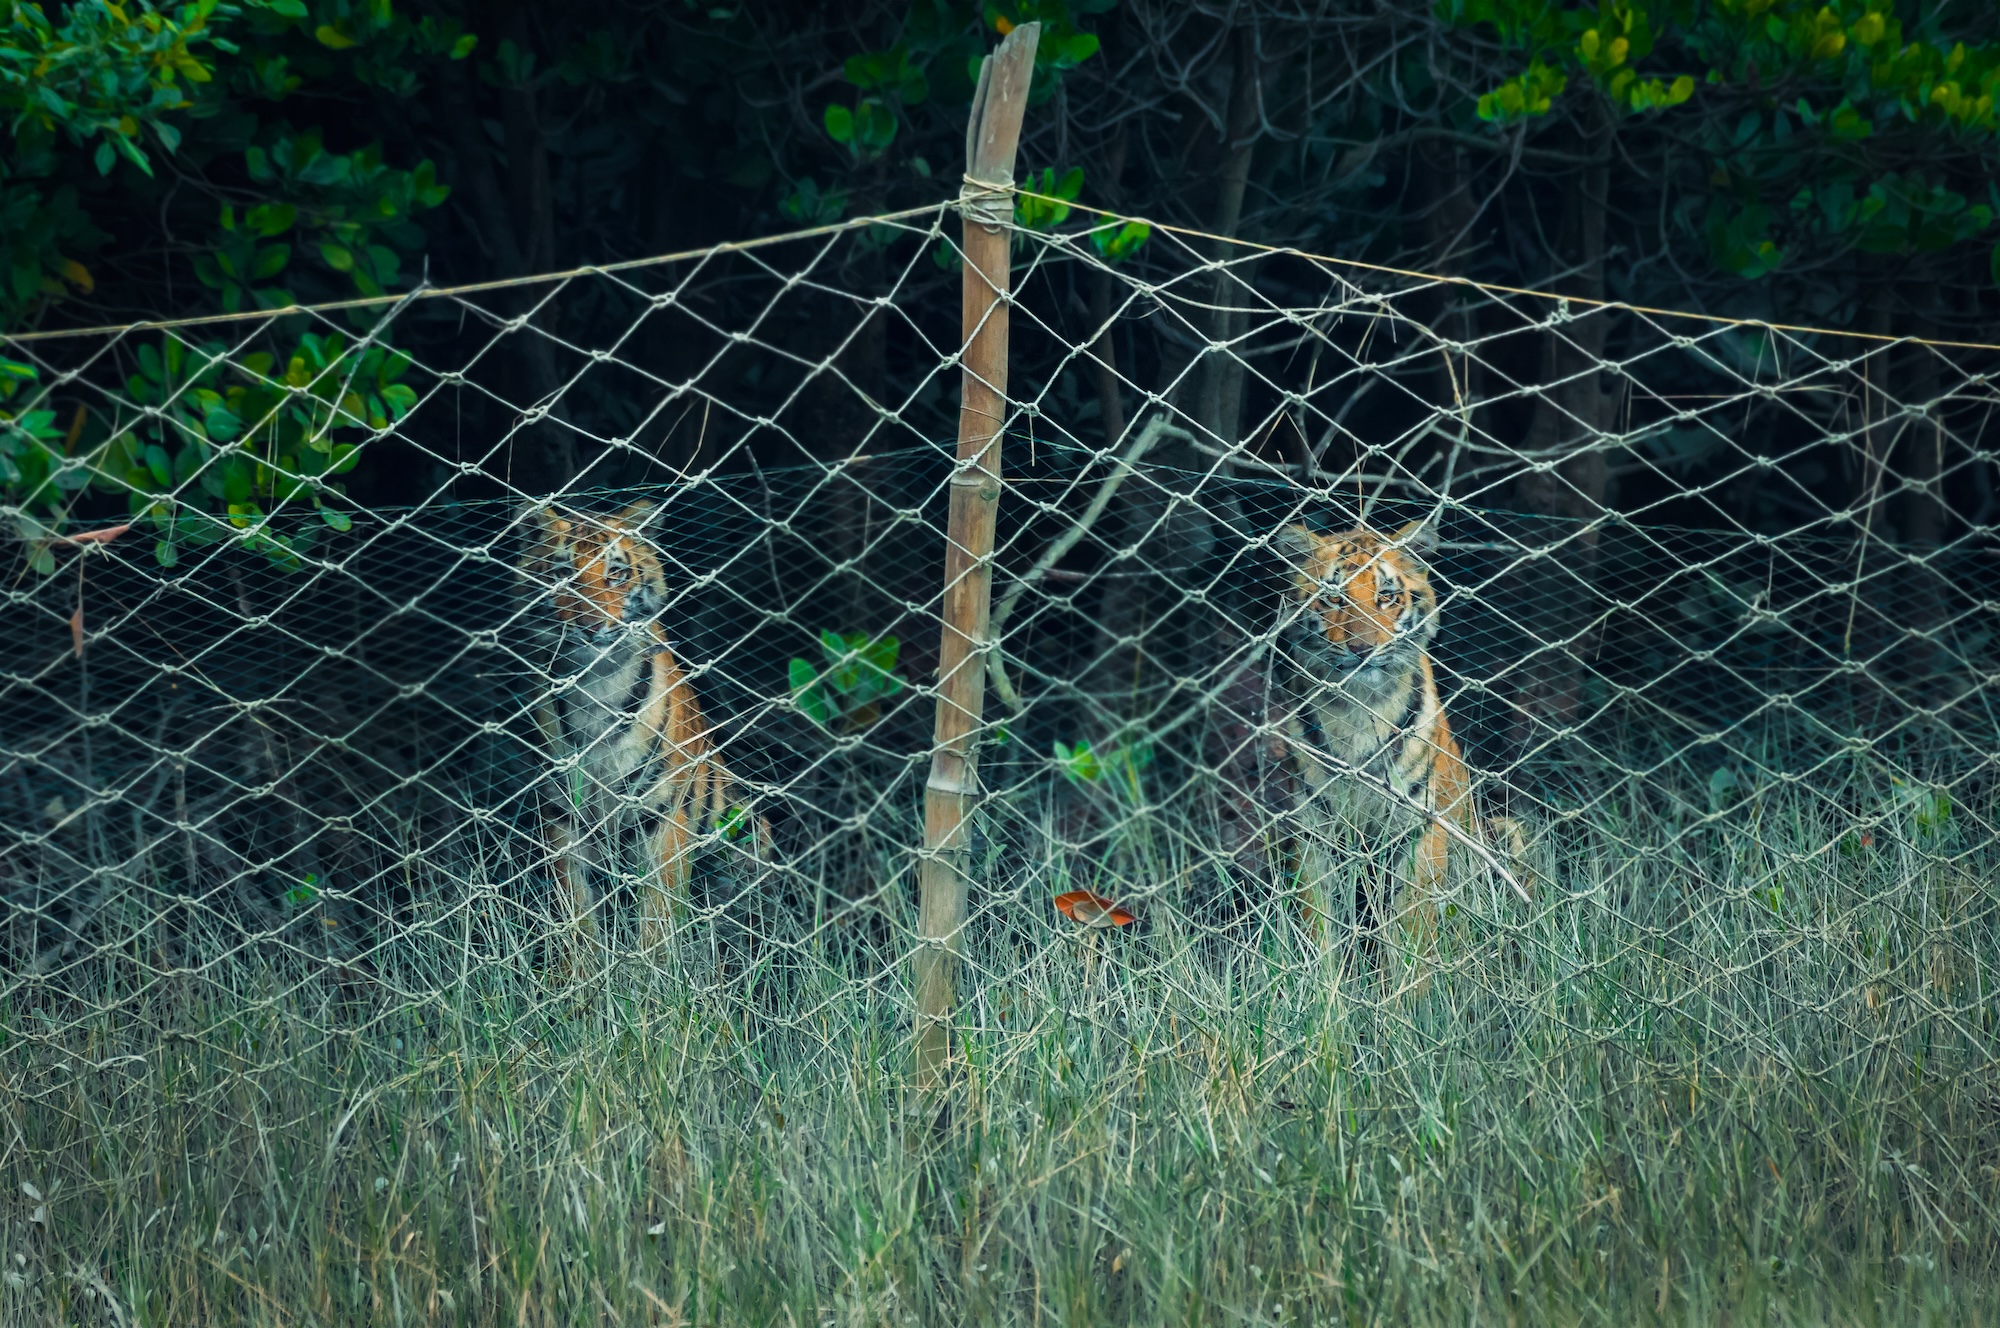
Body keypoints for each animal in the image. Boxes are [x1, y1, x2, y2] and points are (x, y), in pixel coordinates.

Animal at [518, 501, 766, 956]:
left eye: (616, 573)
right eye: (563, 574)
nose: (591, 627)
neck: (596, 686)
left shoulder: (662, 813)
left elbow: (657, 915)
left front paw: (652, 971)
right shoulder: (562, 817)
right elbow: (576, 916)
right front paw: (580, 973)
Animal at [1274, 518, 1527, 979]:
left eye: (1387, 596)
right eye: (1333, 597)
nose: (1360, 650)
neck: (1358, 711)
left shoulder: (1415, 833)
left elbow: (1412, 938)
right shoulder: (1316, 831)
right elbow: (1320, 931)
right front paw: (1323, 992)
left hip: (1504, 832)